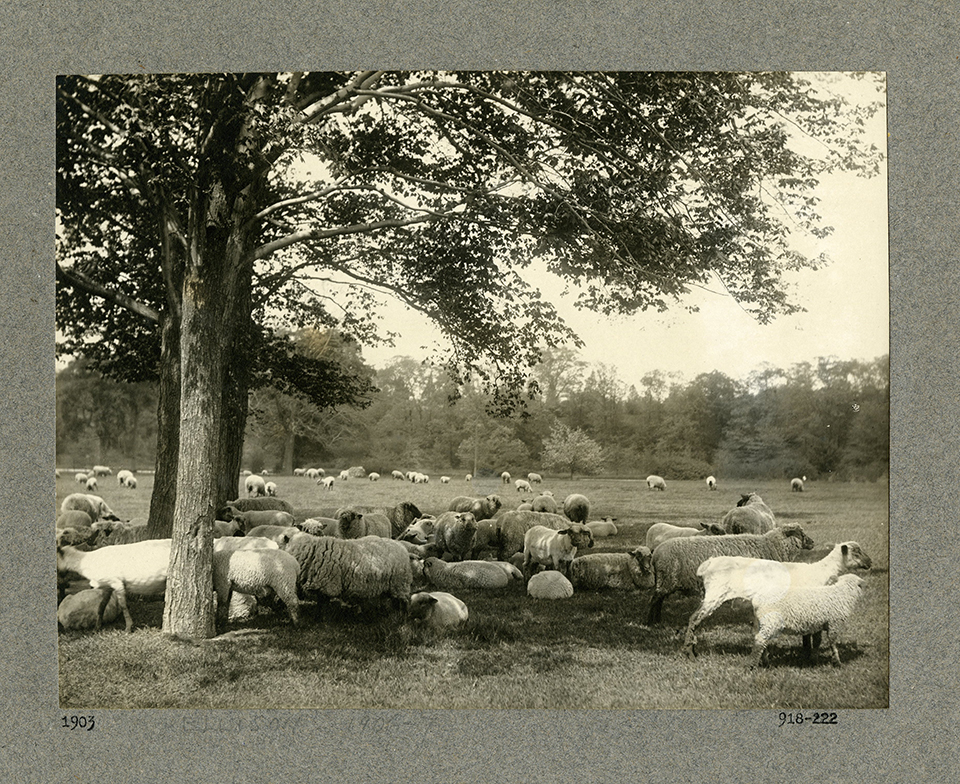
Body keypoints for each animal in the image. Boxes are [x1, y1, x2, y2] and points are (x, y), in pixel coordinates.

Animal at [280, 532, 410, 612]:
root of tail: (401, 546)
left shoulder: (327, 586)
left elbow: (322, 606)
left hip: (399, 584)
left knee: (403, 603)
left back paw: (400, 618)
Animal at [684, 540, 872, 656]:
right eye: (857, 552)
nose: (870, 563)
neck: (821, 571)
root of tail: (708, 564)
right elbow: (811, 635)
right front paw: (809, 655)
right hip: (715, 594)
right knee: (693, 619)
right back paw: (689, 652)